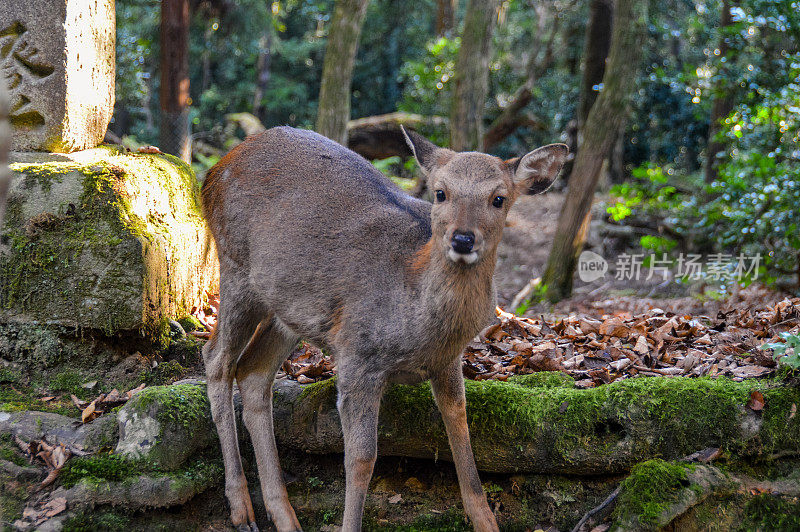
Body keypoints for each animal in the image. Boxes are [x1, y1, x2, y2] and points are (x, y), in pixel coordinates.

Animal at [202, 125, 568, 532]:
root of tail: (214, 171)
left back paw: (283, 516)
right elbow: (362, 459)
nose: (462, 238)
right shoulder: (357, 354)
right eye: (441, 192)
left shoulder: (447, 360)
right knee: (216, 359)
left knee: (253, 371)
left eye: (499, 199)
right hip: (234, 266)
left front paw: (486, 521)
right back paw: (241, 509)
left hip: (287, 307)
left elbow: (460, 426)